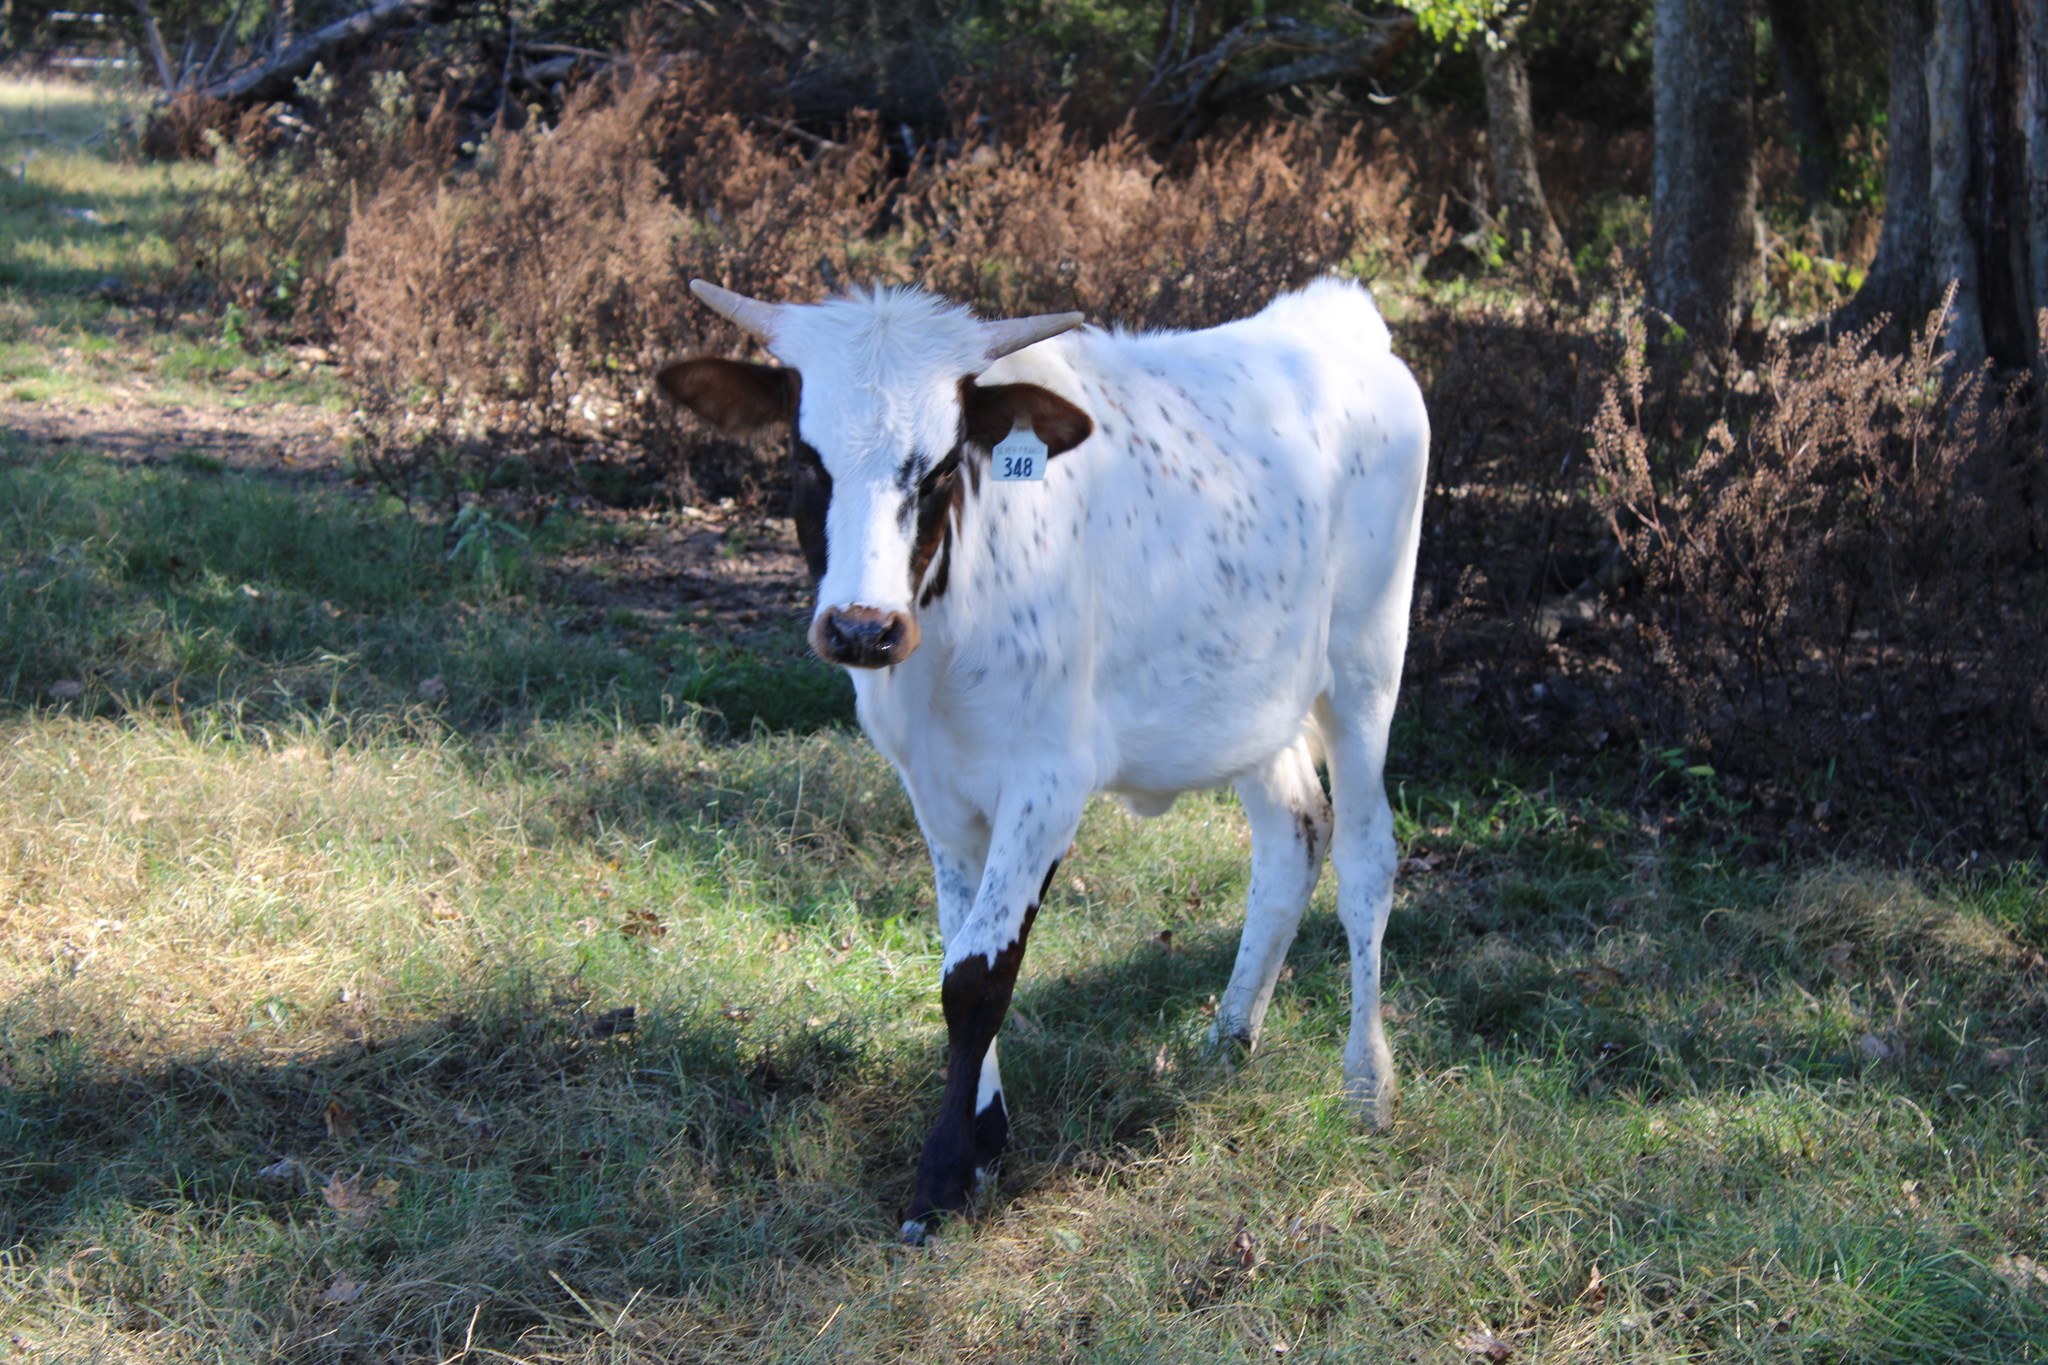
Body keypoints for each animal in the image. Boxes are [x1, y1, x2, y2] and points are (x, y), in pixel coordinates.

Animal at [656, 276, 1428, 1243]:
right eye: (804, 459)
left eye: (942, 467)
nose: (863, 629)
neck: (944, 637)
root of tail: (1335, 310)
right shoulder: (935, 791)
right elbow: (955, 947)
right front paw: (984, 1141)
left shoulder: (1048, 782)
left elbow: (978, 977)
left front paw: (943, 1175)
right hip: (1250, 699)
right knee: (1293, 835)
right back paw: (1229, 1038)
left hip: (1366, 664)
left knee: (1366, 859)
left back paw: (1367, 1082)